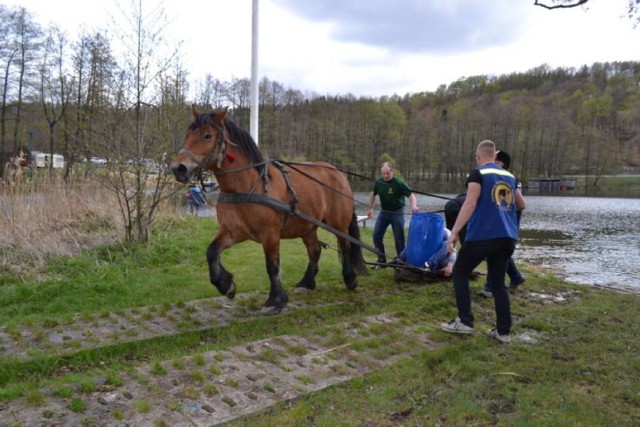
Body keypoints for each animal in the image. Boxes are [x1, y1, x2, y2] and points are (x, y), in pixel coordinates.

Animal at [170, 107, 368, 314]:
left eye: (207, 135)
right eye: (187, 134)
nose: (178, 168)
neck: (249, 185)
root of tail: (337, 172)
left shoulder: (270, 234)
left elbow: (272, 265)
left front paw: (276, 299)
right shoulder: (233, 232)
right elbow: (212, 252)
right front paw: (225, 284)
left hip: (338, 223)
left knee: (345, 245)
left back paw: (350, 278)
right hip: (307, 226)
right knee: (314, 250)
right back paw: (306, 282)